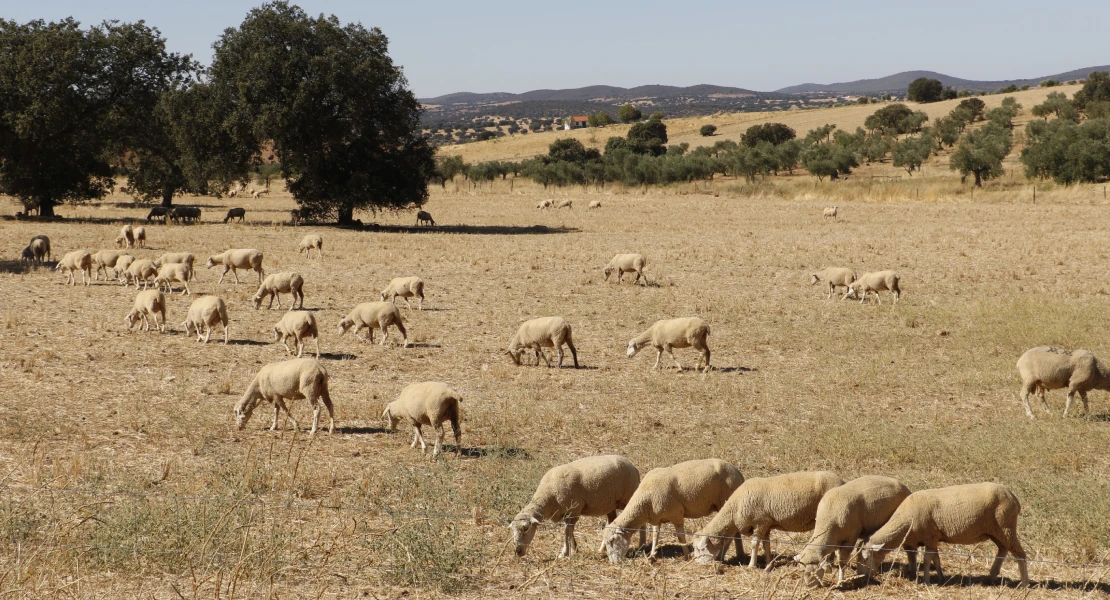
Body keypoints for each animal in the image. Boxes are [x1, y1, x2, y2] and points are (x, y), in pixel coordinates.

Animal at [510, 454, 643, 556]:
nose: (517, 551)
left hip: (629, 496)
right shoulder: (566, 514)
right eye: (512, 530)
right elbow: (568, 531)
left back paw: (642, 546)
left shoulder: (574, 511)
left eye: (526, 528)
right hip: (609, 503)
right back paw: (602, 548)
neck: (549, 496)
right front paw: (574, 548)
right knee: (611, 520)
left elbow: (567, 531)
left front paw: (565, 552)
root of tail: (634, 467)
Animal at [603, 459, 741, 561]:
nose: (614, 563)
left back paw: (722, 556)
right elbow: (655, 536)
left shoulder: (676, 514)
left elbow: (680, 537)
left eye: (612, 540)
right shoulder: (656, 518)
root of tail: (738, 473)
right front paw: (652, 555)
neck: (644, 500)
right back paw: (739, 553)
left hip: (725, 502)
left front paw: (686, 555)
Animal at [688, 468, 843, 565]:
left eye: (699, 548)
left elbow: (754, 544)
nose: (697, 563)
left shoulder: (760, 522)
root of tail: (842, 481)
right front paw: (769, 563)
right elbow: (766, 544)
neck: (734, 509)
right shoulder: (767, 524)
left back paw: (828, 562)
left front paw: (752, 565)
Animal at [856, 481, 1030, 585]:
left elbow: (927, 560)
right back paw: (992, 576)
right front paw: (940, 577)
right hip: (996, 531)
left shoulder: (930, 537)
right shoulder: (933, 539)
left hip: (1006, 527)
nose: (861, 576)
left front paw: (927, 580)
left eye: (866, 557)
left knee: (1020, 555)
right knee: (1003, 549)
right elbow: (936, 559)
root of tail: (1014, 498)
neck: (905, 520)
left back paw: (1024, 583)